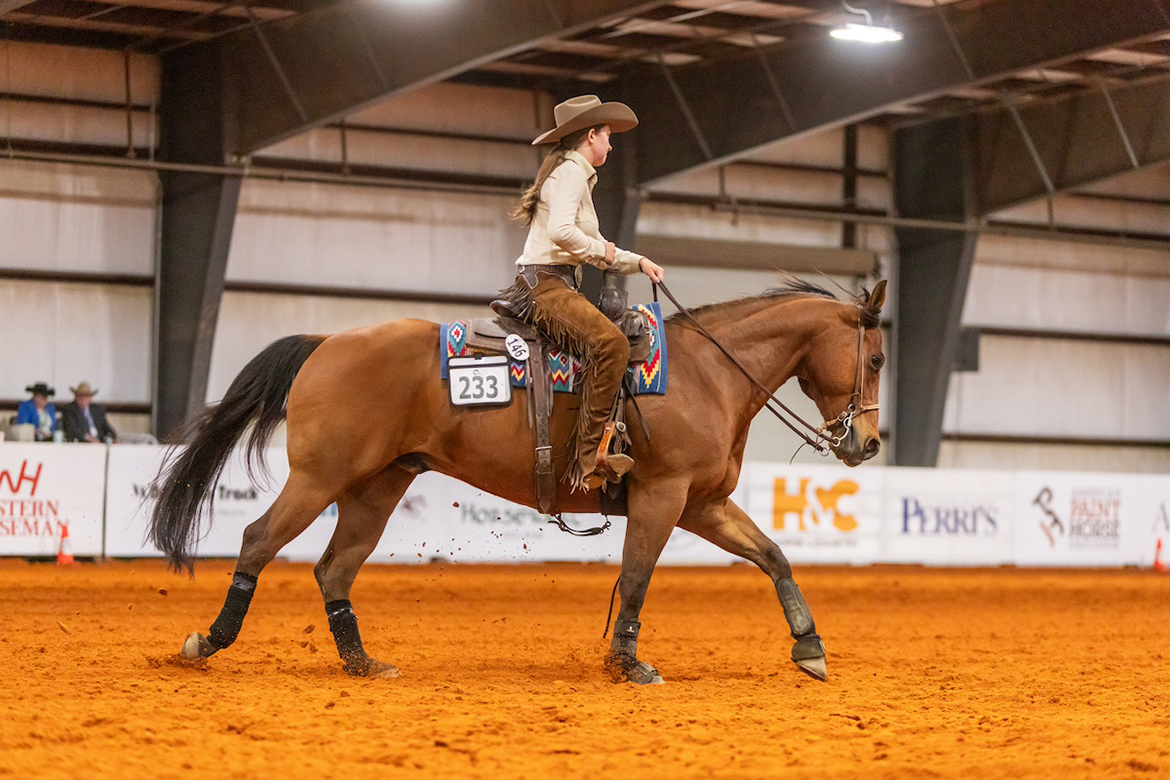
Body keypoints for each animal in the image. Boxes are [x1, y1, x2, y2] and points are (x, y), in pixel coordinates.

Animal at [149, 279, 886, 685]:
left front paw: (810, 647)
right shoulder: (664, 496)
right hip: (318, 477)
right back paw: (207, 642)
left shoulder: (703, 503)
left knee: (334, 569)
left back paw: (362, 664)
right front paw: (629, 665)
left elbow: (774, 555)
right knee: (257, 540)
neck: (708, 374)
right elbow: (637, 577)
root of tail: (327, 342)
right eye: (877, 357)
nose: (868, 443)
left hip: (376, 487)